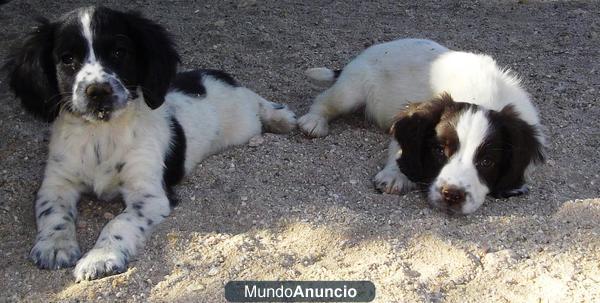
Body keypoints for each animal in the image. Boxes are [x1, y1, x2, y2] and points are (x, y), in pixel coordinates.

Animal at [4, 5, 296, 282]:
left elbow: (118, 223)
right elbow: (53, 214)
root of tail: (213, 74)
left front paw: (100, 257)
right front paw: (54, 246)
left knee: (257, 101)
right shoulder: (56, 183)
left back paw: (282, 118)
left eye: (119, 52)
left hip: (243, 120)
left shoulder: (148, 195)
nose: (98, 91)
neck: (100, 134)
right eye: (67, 59)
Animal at [298, 39, 544, 215]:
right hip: (352, 89)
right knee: (326, 100)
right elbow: (401, 149)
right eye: (439, 151)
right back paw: (314, 121)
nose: (452, 195)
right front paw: (395, 176)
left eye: (486, 162)